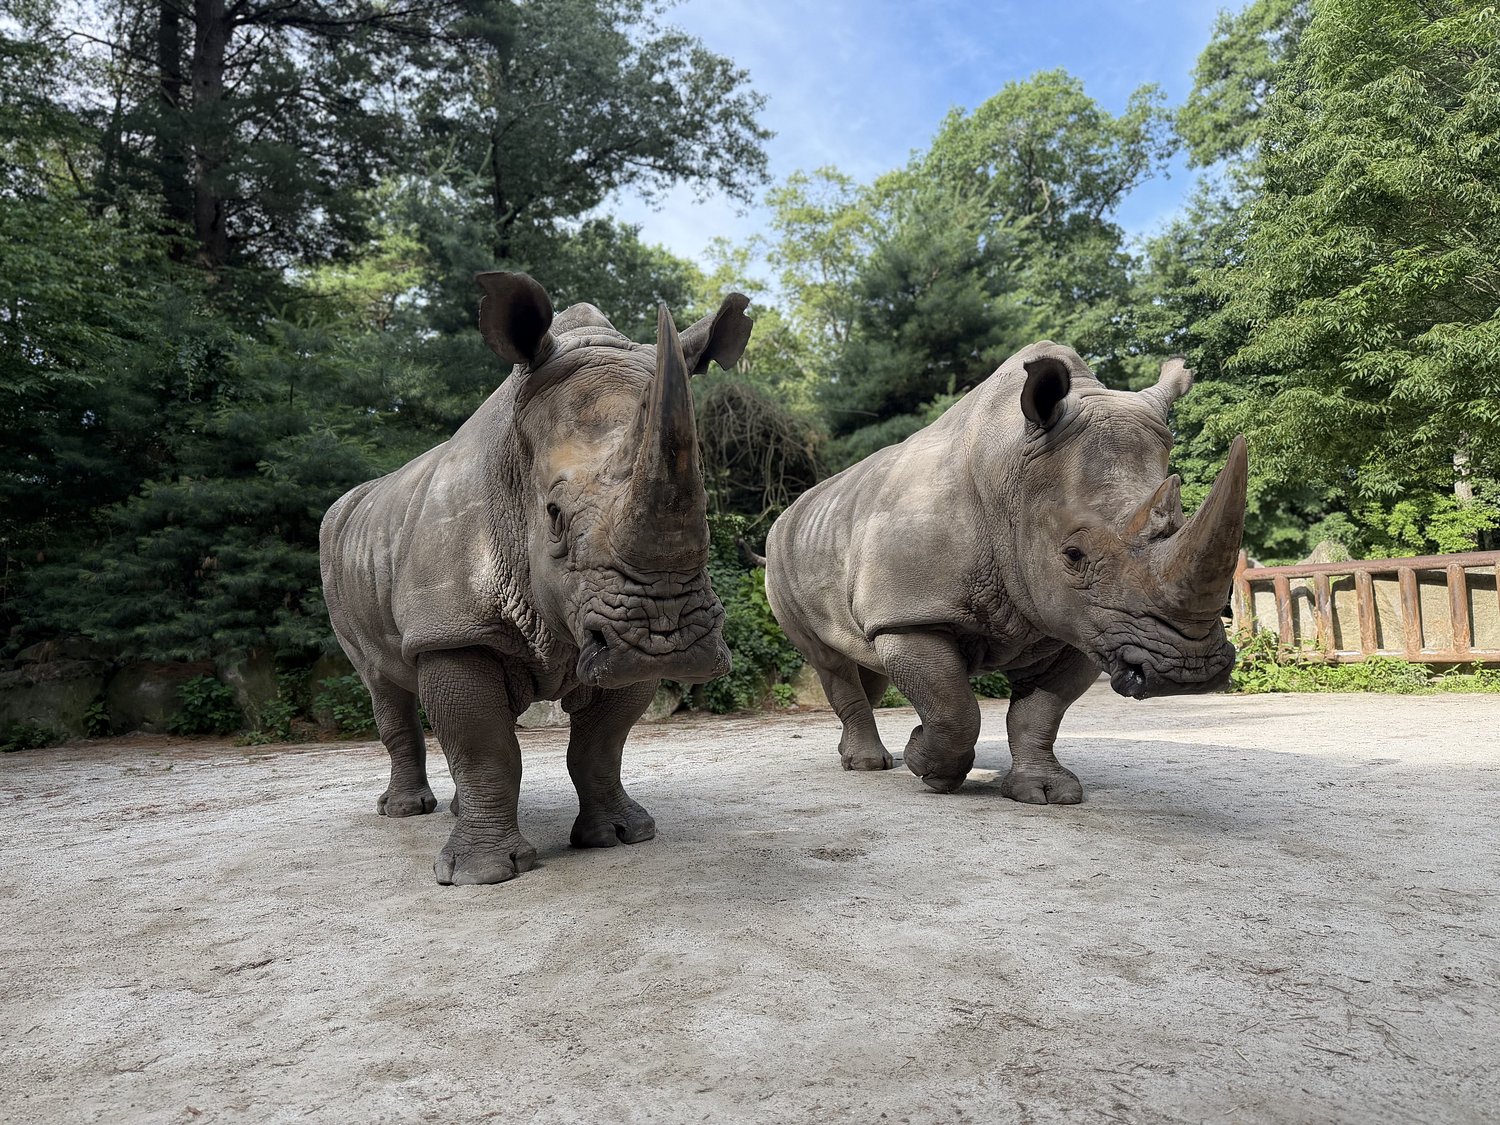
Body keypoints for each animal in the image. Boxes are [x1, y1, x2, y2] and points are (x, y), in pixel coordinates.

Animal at [320, 272, 751, 885]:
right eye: (554, 516)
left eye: (709, 514)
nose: (666, 640)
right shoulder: (453, 628)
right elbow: (485, 746)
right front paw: (482, 875)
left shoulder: (610, 642)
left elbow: (601, 744)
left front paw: (620, 836)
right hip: (341, 557)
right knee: (383, 684)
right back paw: (406, 811)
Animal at [765, 341, 1247, 802]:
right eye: (1073, 555)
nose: (1189, 672)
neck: (1012, 473)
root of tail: (789, 512)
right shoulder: (910, 613)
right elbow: (953, 708)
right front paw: (928, 766)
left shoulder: (1083, 621)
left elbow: (1039, 713)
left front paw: (1045, 793)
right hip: (780, 557)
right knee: (829, 661)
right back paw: (868, 765)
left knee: (864, 660)